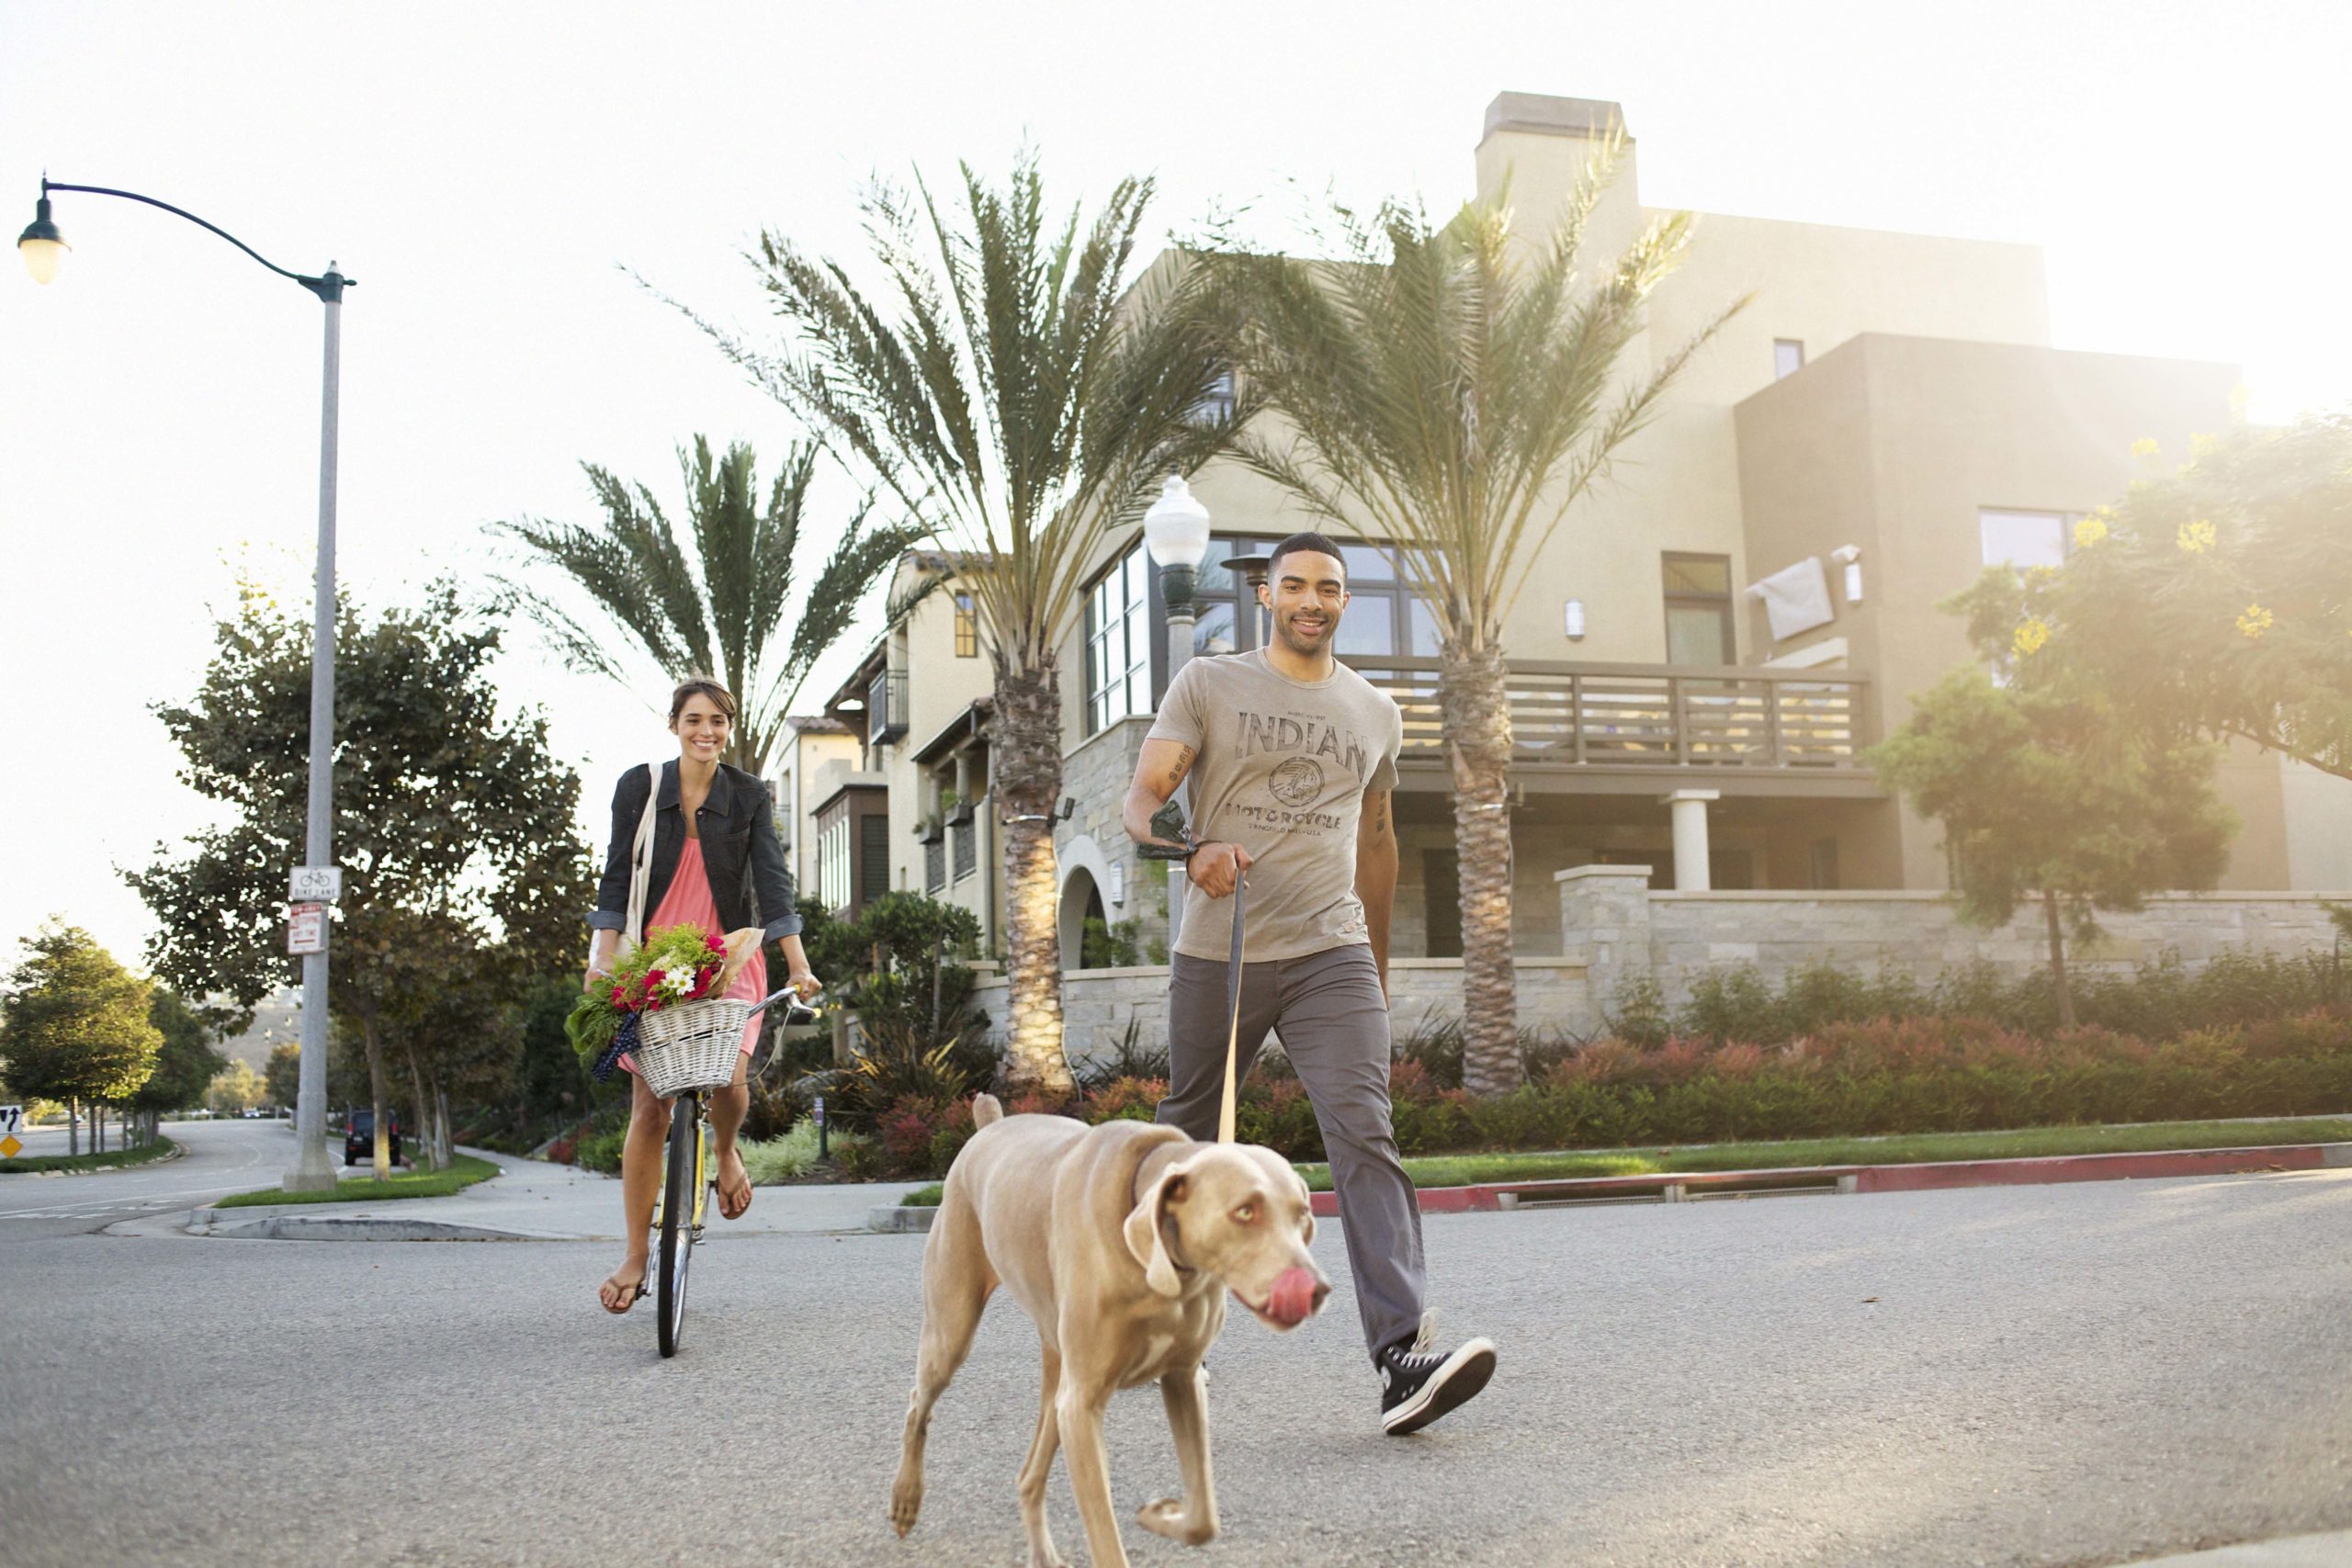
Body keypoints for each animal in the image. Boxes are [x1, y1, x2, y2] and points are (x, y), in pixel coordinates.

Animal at [888, 1100, 1336, 1568]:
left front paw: (1161, 1514)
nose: (1317, 1289)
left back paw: (1043, 1553)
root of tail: (988, 1127)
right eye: (1245, 1211)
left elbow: (1203, 1519)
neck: (1158, 1263)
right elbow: (1105, 1537)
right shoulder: (1082, 1405)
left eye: (1302, 1215)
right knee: (919, 1403)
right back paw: (906, 1500)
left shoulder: (1183, 1376)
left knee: (1029, 1473)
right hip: (952, 1325)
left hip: (1056, 1368)